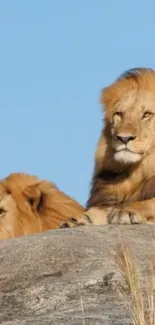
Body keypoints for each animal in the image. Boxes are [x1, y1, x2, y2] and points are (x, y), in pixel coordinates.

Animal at [60, 67, 155, 227]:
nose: (124, 138)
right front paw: (79, 219)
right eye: (119, 114)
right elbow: (99, 211)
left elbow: (149, 203)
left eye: (147, 114)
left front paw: (126, 212)